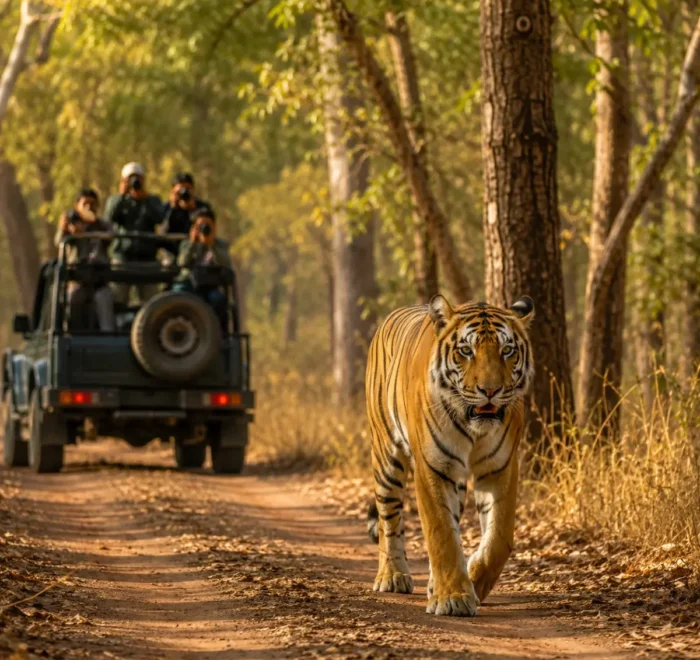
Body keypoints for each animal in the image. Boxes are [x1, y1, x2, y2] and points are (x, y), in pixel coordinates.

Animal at [365, 294, 534, 617]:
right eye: (466, 351)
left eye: (507, 350)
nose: (490, 391)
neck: (474, 428)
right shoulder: (433, 467)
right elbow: (441, 533)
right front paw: (453, 598)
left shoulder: (501, 467)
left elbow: (499, 537)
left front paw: (474, 580)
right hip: (386, 456)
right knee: (388, 518)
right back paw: (392, 576)